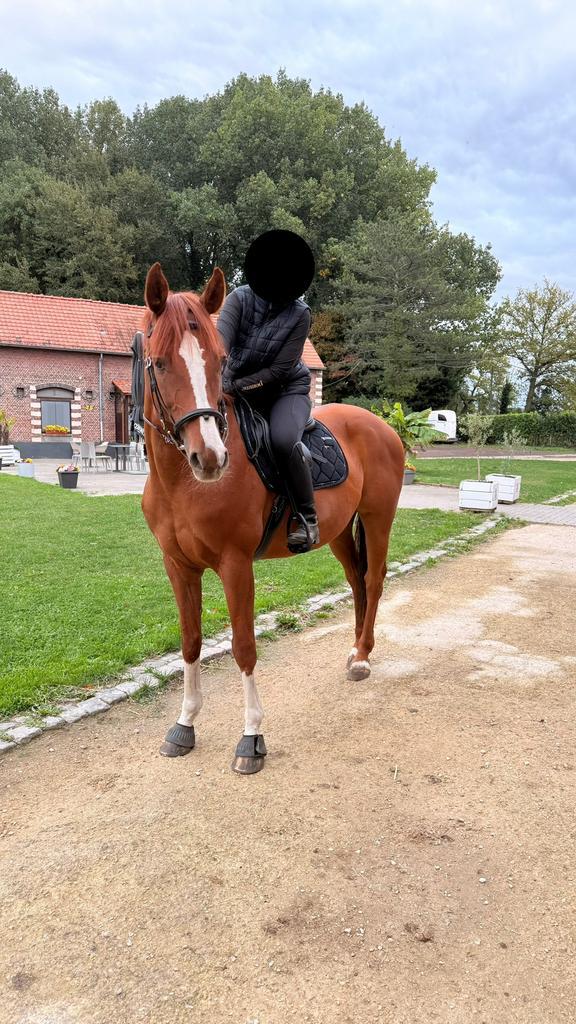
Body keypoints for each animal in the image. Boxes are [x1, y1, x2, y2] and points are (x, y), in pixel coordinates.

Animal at [141, 262, 405, 774]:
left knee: (375, 579)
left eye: (220, 361)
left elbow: (244, 647)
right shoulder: (177, 566)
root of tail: (380, 424)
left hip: (377, 519)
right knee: (358, 581)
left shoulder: (235, 564)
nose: (210, 458)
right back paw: (355, 649)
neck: (181, 484)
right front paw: (184, 725)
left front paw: (251, 738)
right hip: (338, 533)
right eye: (160, 363)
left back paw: (364, 657)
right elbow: (191, 642)